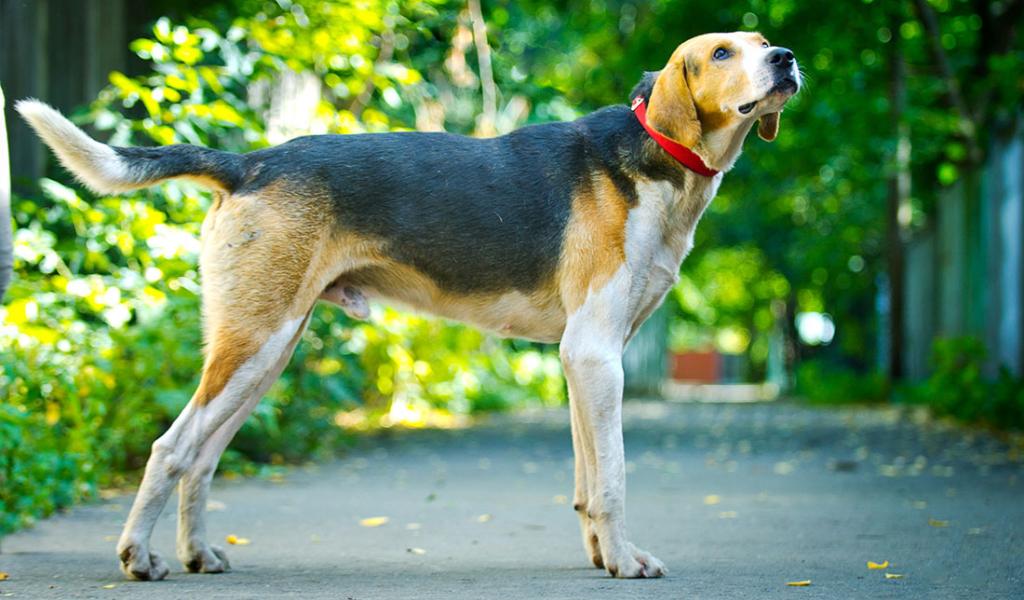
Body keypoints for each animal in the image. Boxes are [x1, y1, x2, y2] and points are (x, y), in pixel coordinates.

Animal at [18, 30, 798, 577]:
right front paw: (628, 562)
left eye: (762, 42)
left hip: (266, 353)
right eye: (723, 51)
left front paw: (603, 558)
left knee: (201, 458)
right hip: (255, 343)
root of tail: (251, 161)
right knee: (170, 448)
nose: (785, 59)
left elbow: (586, 480)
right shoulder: (596, 354)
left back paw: (197, 555)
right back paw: (137, 558)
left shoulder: (585, 360)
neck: (661, 164)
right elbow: (612, 480)